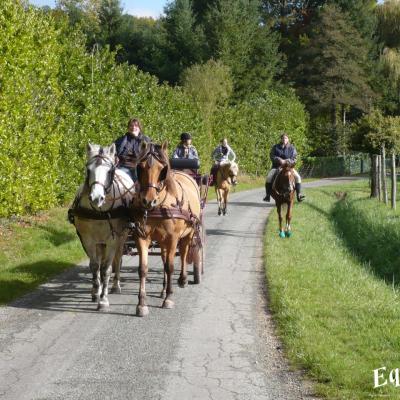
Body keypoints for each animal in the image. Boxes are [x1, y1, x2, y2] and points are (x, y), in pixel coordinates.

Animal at [69, 144, 137, 312]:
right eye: (88, 170)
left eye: (109, 171)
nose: (96, 198)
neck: (100, 211)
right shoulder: (88, 239)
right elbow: (94, 266)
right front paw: (96, 292)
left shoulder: (112, 239)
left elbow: (106, 268)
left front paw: (104, 300)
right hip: (99, 241)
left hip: (121, 237)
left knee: (117, 259)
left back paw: (115, 285)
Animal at [130, 142, 200, 318]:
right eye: (140, 167)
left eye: (162, 169)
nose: (148, 200)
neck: (160, 205)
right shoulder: (141, 236)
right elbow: (143, 269)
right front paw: (142, 304)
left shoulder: (173, 238)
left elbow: (170, 267)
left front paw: (168, 298)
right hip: (162, 242)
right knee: (163, 258)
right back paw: (162, 289)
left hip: (188, 234)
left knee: (183, 254)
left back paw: (182, 279)